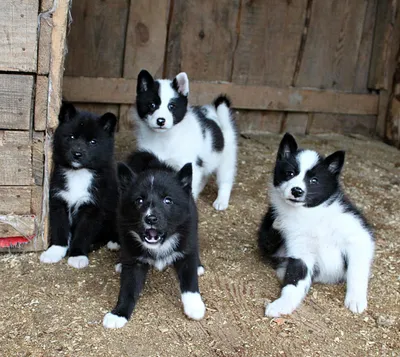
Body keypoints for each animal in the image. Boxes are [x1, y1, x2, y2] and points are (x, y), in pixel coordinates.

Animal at [39, 102, 119, 268]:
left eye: (93, 142)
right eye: (71, 137)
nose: (77, 154)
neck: (78, 173)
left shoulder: (93, 207)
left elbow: (83, 232)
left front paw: (77, 255)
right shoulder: (58, 201)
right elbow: (59, 227)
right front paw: (54, 251)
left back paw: (113, 242)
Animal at [102, 150, 206, 328]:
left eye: (168, 200)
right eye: (139, 200)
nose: (150, 218)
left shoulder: (186, 243)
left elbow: (189, 279)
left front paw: (194, 306)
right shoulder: (134, 261)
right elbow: (128, 288)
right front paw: (118, 313)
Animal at [134, 68, 238, 210]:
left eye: (171, 106)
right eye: (152, 105)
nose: (161, 121)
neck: (164, 138)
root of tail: (216, 117)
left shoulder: (190, 164)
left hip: (226, 160)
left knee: (225, 181)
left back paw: (221, 201)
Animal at [258, 133, 374, 314]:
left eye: (314, 180)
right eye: (290, 173)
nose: (297, 191)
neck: (312, 214)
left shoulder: (358, 237)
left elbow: (356, 270)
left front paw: (356, 299)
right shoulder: (301, 252)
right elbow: (293, 282)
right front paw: (282, 304)